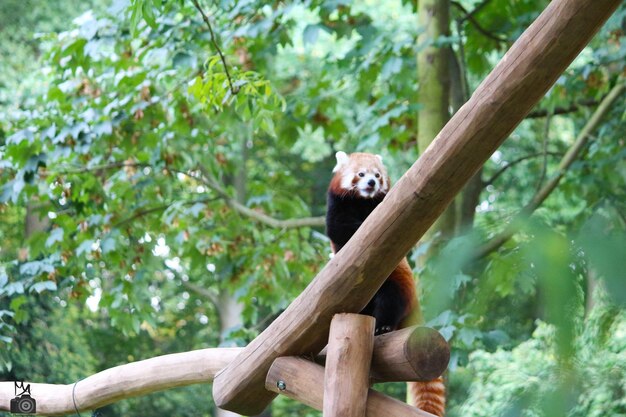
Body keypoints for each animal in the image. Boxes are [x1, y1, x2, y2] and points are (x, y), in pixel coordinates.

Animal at [326, 150, 444, 416]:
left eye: (378, 175)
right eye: (361, 174)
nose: (371, 183)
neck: (361, 202)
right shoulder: (338, 206)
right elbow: (340, 229)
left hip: (395, 285)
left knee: (390, 301)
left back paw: (383, 326)